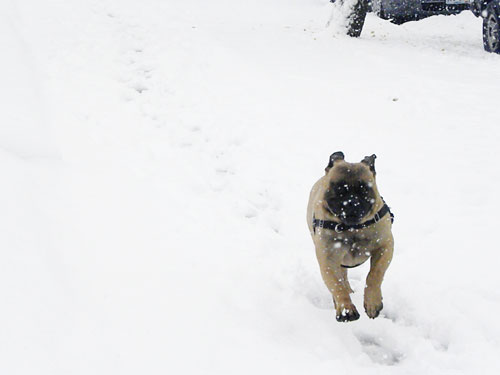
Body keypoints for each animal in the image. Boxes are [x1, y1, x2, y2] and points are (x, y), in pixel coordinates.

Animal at [306, 153, 392, 324]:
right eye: (338, 188)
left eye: (364, 189)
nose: (352, 202)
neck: (352, 228)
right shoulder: (328, 258)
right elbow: (336, 284)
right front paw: (346, 309)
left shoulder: (384, 246)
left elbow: (375, 274)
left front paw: (372, 302)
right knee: (342, 279)